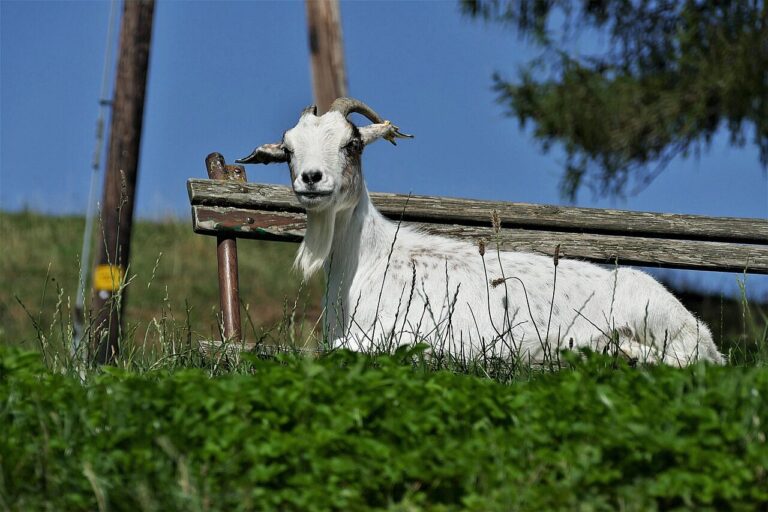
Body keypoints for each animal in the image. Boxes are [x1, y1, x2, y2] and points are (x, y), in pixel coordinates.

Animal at [237, 98, 725, 366]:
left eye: (352, 144)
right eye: (288, 151)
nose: (312, 179)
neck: (369, 260)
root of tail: (705, 336)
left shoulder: (413, 330)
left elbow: (343, 348)